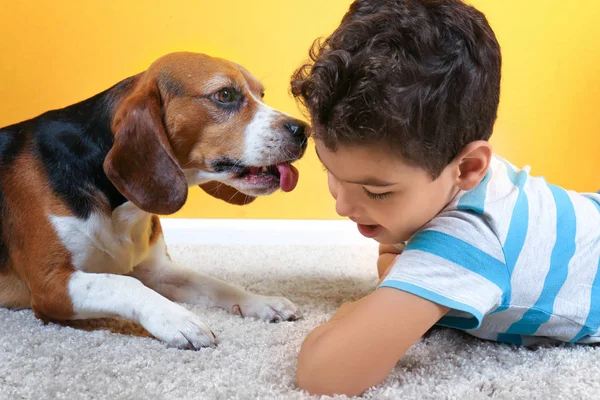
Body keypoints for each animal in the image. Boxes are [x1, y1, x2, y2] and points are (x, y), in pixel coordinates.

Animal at [0, 52, 310, 350]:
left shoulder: (157, 270)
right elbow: (125, 284)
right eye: (224, 95)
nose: (303, 130)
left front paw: (260, 301)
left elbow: (214, 283)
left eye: (261, 94)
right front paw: (178, 320)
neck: (120, 208)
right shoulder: (51, 285)